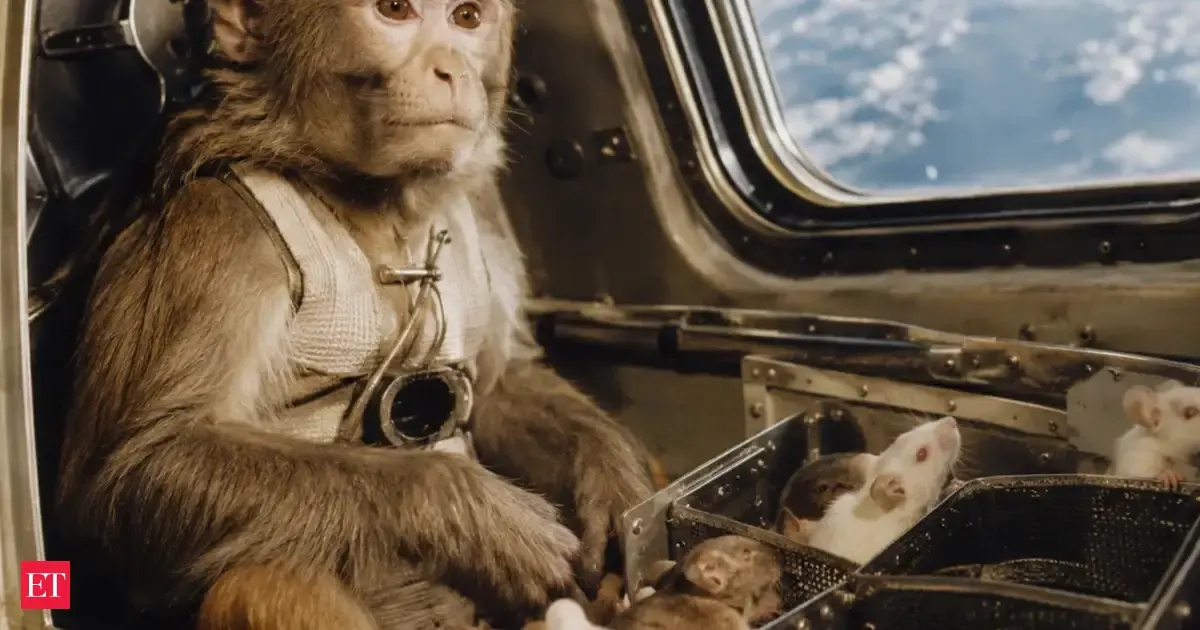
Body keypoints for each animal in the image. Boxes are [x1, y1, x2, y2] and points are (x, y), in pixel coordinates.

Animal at [54, 0, 655, 628]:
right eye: (393, 11)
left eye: (467, 18)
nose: (452, 70)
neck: (375, 203)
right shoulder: (214, 231)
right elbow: (137, 472)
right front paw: (480, 514)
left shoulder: (483, 204)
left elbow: (497, 383)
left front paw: (613, 482)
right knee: (268, 582)